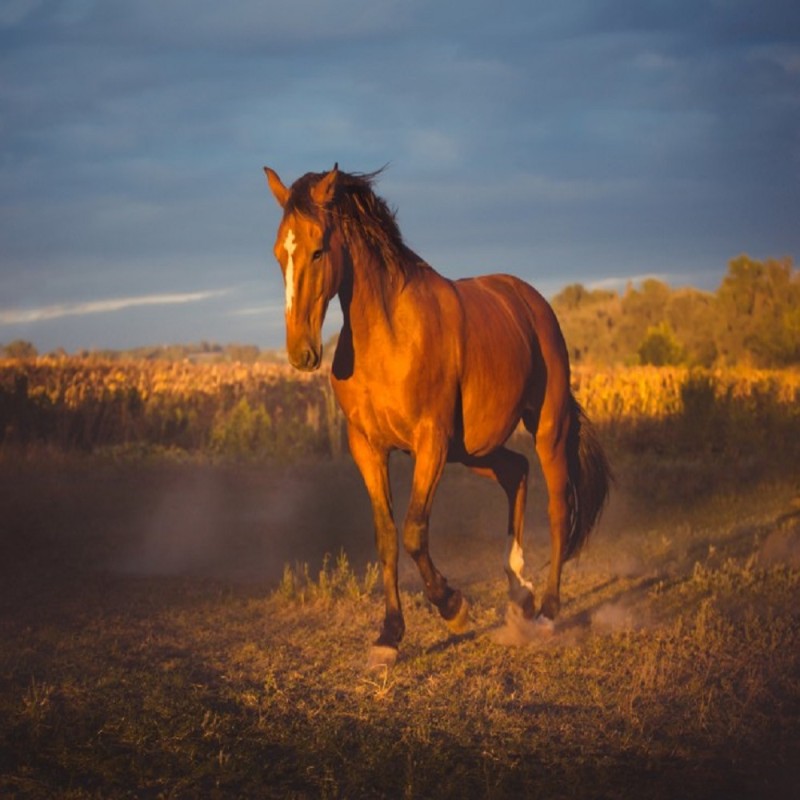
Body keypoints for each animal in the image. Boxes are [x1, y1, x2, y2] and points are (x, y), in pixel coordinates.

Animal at [263, 164, 611, 669]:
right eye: (278, 253)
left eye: (317, 249)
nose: (301, 353)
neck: (387, 336)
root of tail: (532, 302)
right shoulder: (368, 447)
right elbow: (387, 537)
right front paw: (389, 636)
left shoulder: (431, 442)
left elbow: (413, 531)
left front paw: (453, 608)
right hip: (474, 450)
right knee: (516, 472)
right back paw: (519, 593)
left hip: (546, 428)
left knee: (558, 506)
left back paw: (546, 611)